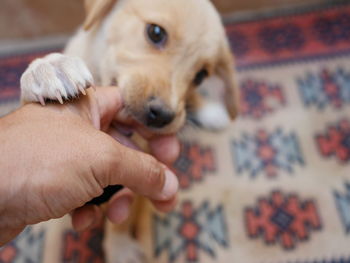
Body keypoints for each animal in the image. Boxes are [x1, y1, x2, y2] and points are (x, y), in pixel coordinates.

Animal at [19, 0, 238, 262]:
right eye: (156, 33)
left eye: (201, 75)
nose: (164, 116)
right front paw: (49, 67)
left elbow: (122, 219)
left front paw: (120, 248)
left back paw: (211, 111)